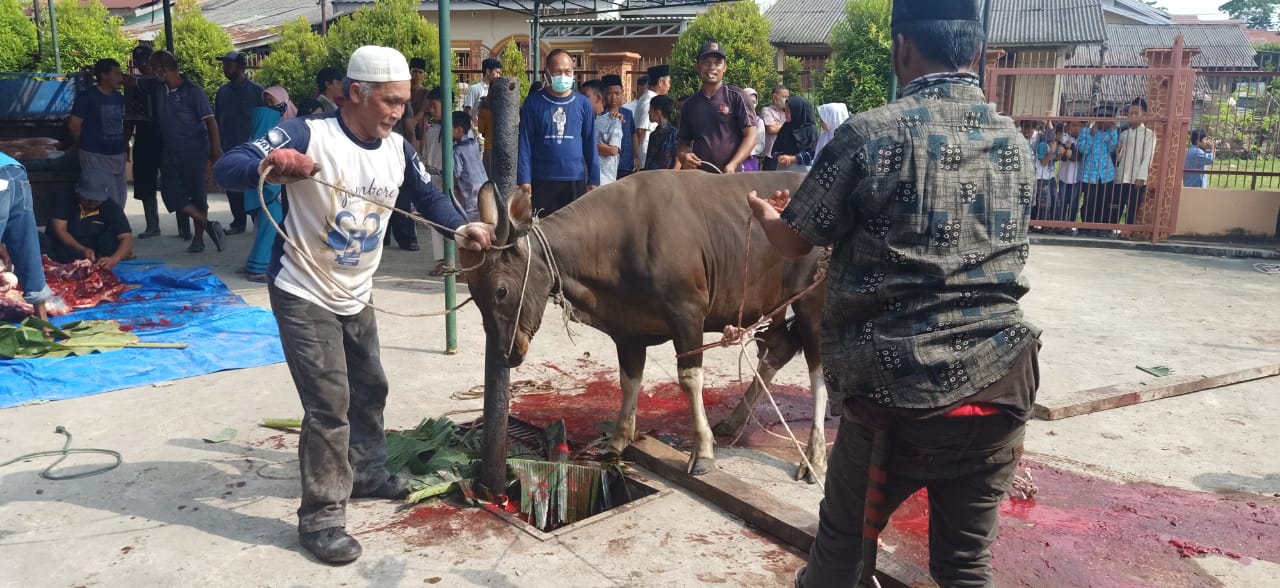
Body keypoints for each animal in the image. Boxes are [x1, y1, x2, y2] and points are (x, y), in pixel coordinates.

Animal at [468, 170, 829, 484]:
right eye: (474, 294)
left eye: (501, 291)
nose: (506, 353)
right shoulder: (627, 331)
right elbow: (629, 381)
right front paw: (618, 440)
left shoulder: (687, 312)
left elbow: (690, 380)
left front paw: (702, 452)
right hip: (768, 305)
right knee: (779, 349)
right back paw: (734, 421)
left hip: (813, 303)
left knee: (818, 373)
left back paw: (814, 457)